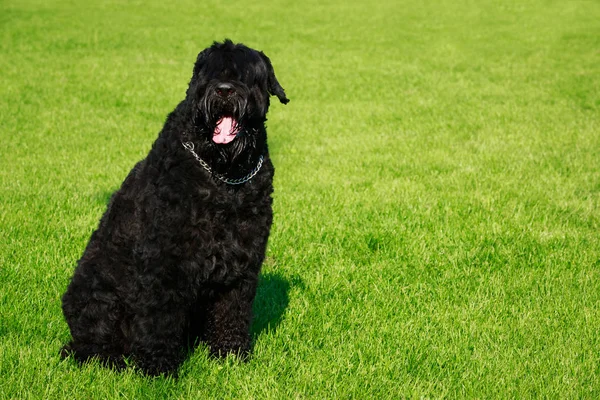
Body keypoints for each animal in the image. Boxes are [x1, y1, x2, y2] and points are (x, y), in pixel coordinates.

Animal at [60, 39, 288, 376]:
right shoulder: (165, 258)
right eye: (207, 74)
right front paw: (157, 368)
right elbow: (159, 316)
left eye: (247, 75)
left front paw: (230, 355)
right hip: (99, 295)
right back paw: (110, 359)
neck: (223, 174)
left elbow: (232, 310)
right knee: (88, 345)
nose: (224, 90)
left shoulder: (243, 258)